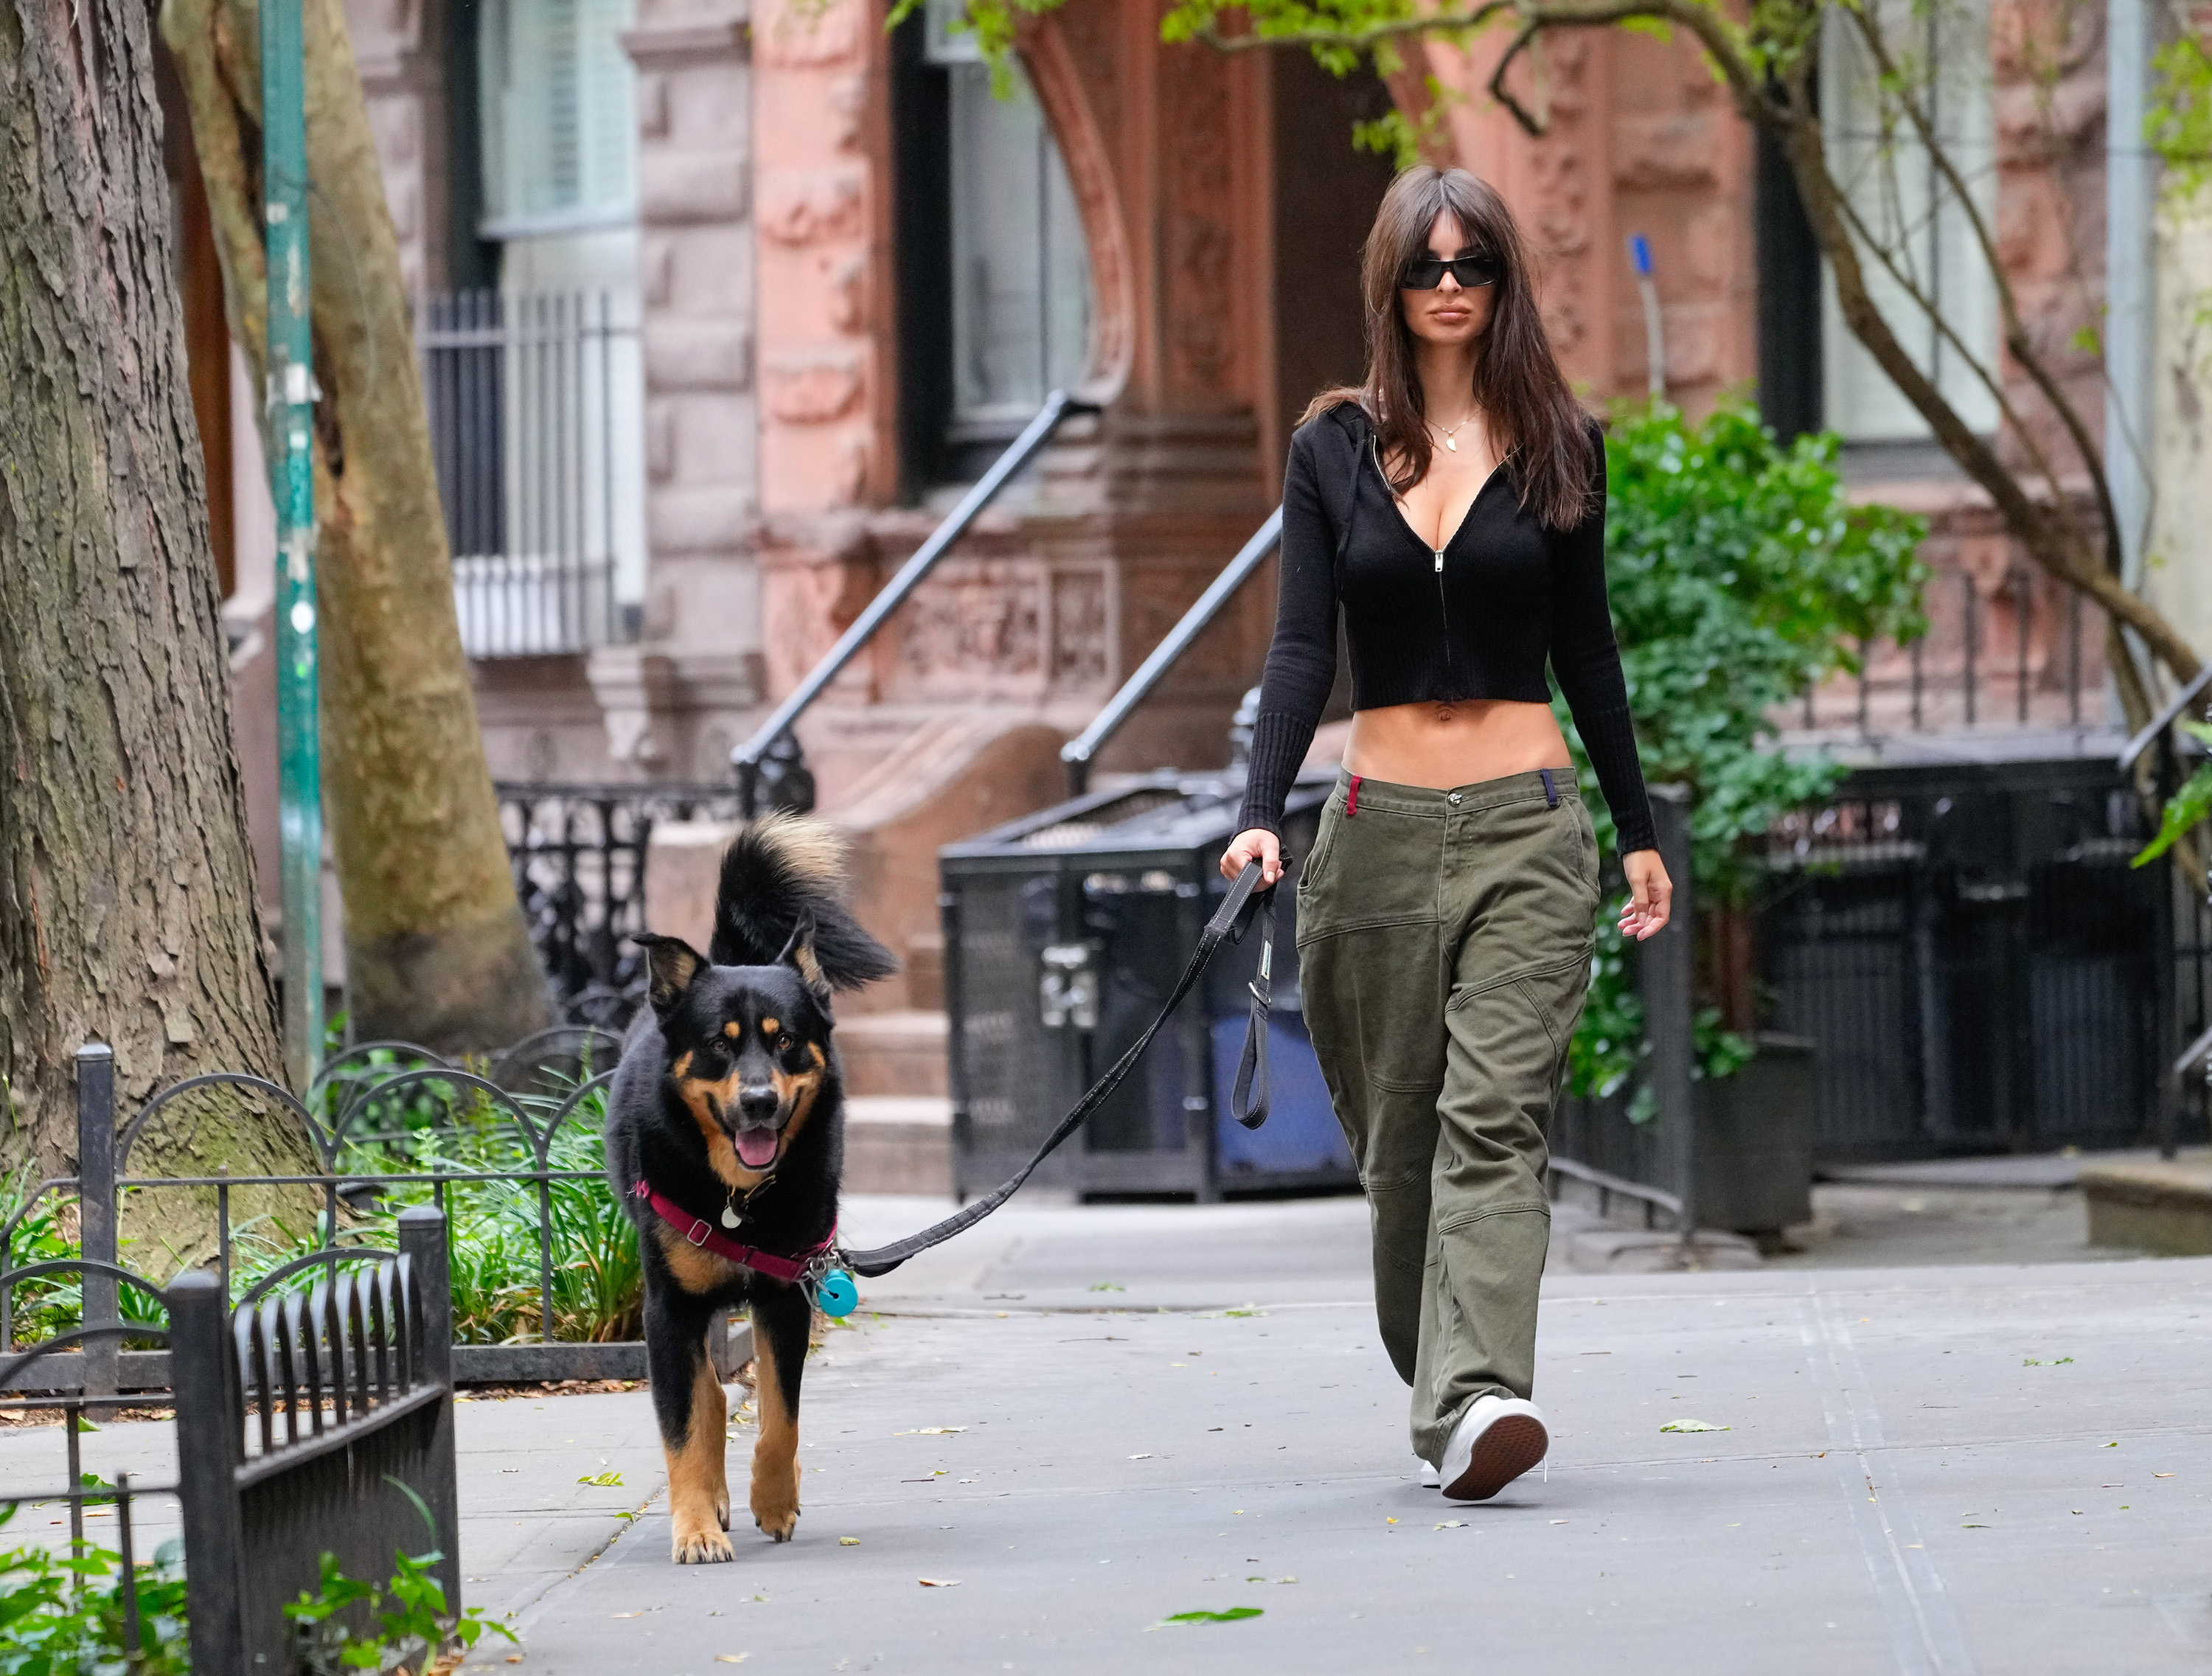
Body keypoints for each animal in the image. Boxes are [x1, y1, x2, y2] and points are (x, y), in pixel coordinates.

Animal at [611, 813, 894, 1565]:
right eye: (718, 1043)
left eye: (787, 1039)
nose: (761, 1102)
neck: (737, 1199)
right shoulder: (668, 1308)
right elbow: (685, 1427)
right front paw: (695, 1527)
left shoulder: (785, 1294)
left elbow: (780, 1416)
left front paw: (774, 1497)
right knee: (707, 1395)